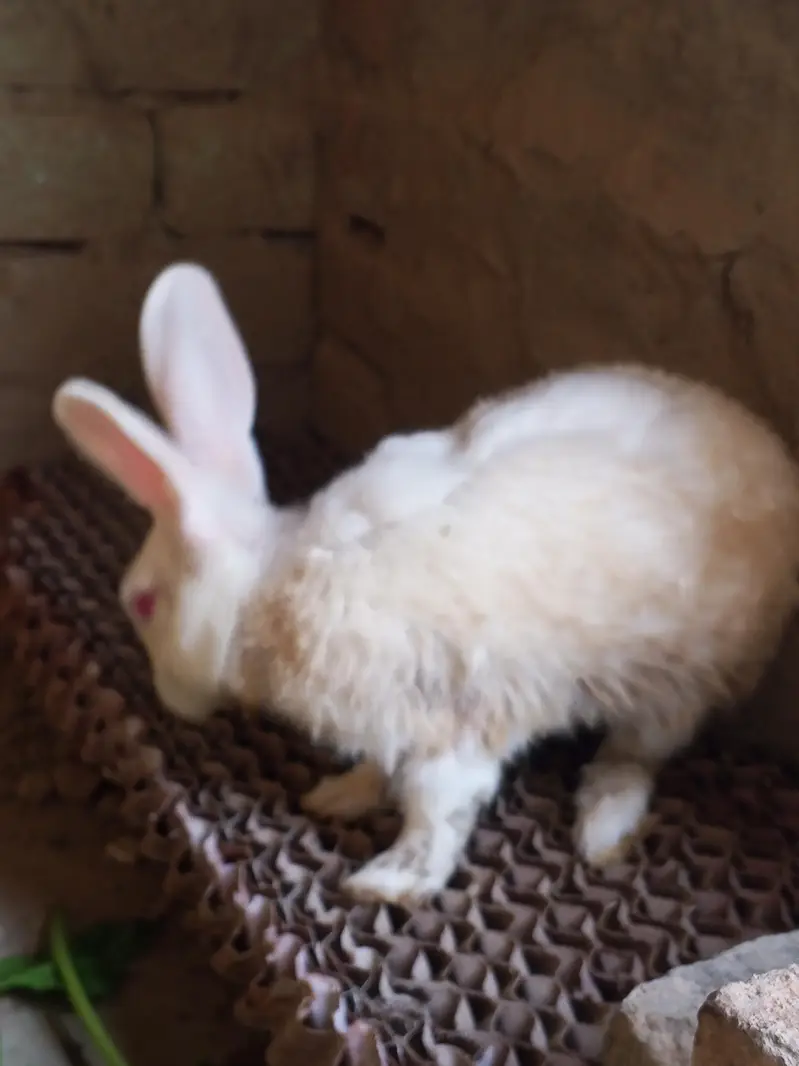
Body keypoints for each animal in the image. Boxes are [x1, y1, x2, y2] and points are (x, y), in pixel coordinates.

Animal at [51, 262, 799, 906]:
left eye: (144, 602)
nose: (170, 702)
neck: (267, 589)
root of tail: (776, 464)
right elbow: (380, 772)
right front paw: (339, 795)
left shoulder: (447, 723)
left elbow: (435, 811)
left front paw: (388, 883)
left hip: (674, 681)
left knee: (638, 754)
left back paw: (601, 825)